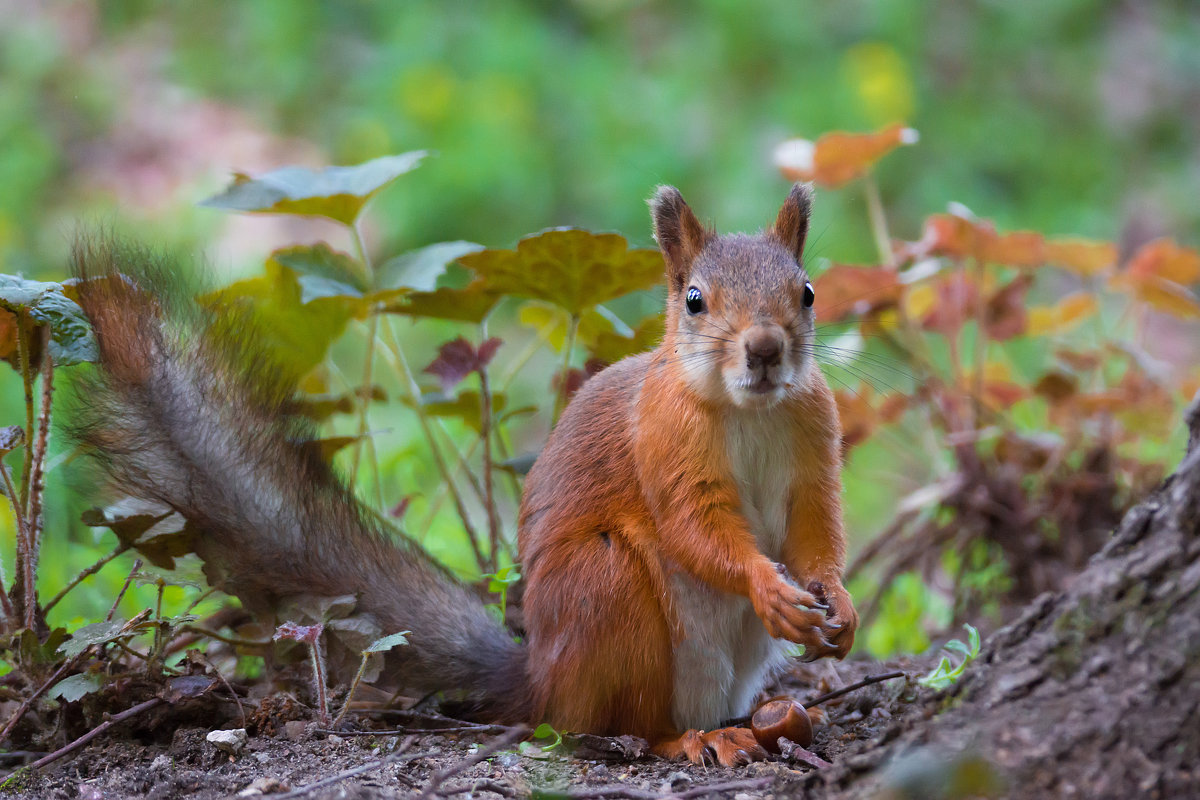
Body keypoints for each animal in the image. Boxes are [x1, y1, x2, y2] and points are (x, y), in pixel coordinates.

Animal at [72, 183, 854, 767]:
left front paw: (838, 604)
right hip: (606, 594)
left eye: (808, 292)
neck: (747, 410)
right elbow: (695, 529)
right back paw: (688, 739)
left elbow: (817, 527)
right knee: (612, 726)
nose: (764, 349)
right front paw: (766, 587)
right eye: (694, 299)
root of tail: (542, 680)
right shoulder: (664, 442)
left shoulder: (814, 442)